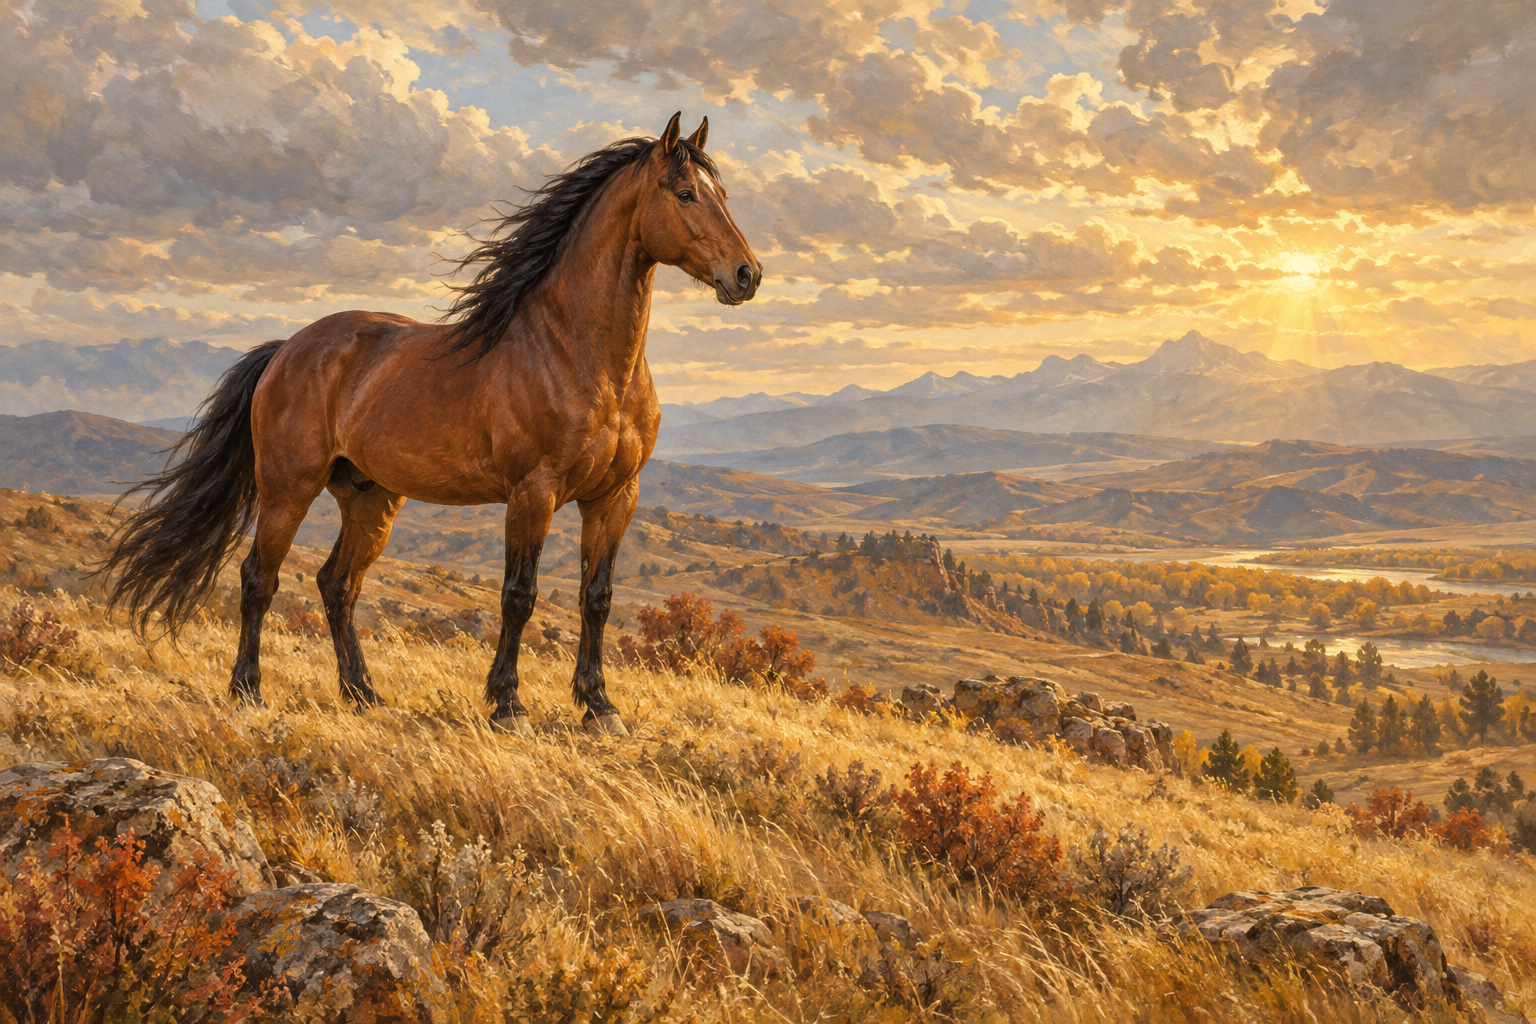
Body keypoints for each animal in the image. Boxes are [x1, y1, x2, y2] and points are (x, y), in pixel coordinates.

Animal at [100, 112, 760, 736]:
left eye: (723, 193)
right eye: (685, 193)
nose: (747, 274)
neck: (578, 353)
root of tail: (288, 348)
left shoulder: (615, 497)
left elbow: (596, 598)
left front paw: (600, 707)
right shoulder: (534, 492)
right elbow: (519, 596)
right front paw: (508, 706)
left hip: (371, 500)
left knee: (337, 586)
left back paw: (363, 695)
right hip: (288, 490)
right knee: (259, 579)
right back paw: (248, 692)